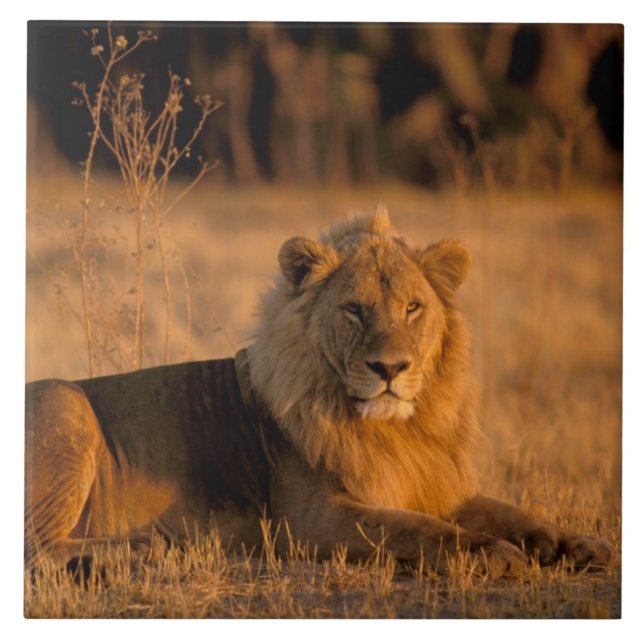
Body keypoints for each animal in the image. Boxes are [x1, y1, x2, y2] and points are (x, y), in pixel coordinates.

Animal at [25, 207, 614, 578]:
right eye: (354, 309)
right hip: (64, 401)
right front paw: (491, 552)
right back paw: (144, 549)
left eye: (413, 308)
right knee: (34, 549)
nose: (389, 368)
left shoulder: (431, 481)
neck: (394, 430)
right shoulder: (308, 521)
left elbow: (511, 510)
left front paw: (577, 544)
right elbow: (412, 528)